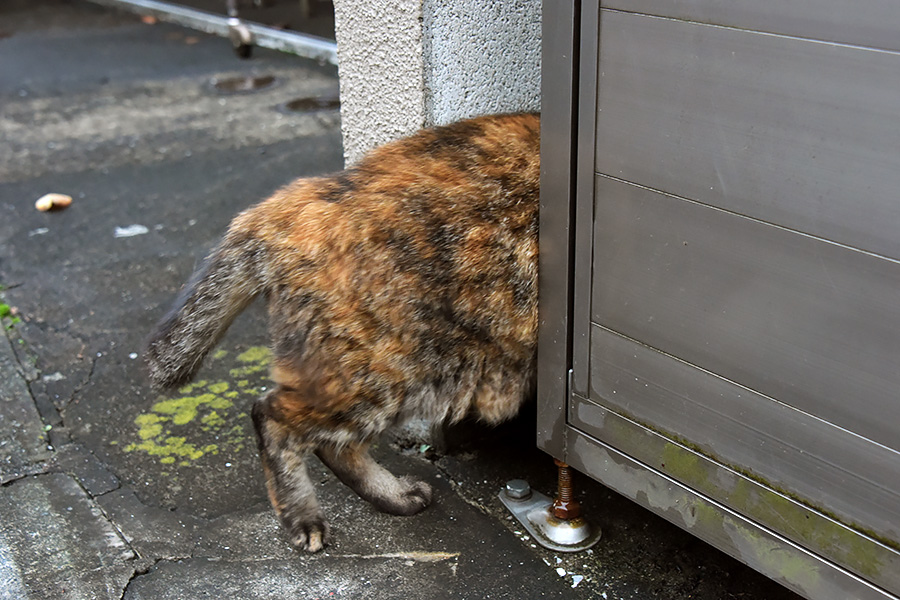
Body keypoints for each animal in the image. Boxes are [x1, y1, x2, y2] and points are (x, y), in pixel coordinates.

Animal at [146, 110, 540, 552]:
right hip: (407, 366)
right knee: (274, 415)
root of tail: (302, 195)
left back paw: (391, 495)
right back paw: (305, 515)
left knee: (332, 442)